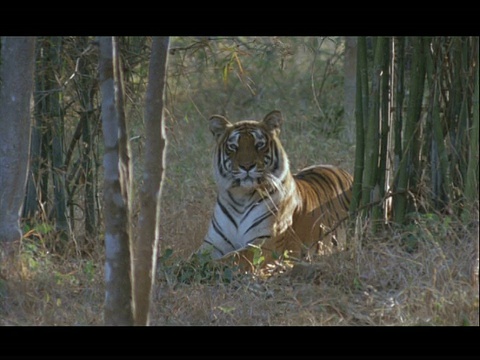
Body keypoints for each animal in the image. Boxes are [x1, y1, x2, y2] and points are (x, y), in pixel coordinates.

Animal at [195, 109, 352, 270]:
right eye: (233, 146)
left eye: (259, 144)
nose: (247, 166)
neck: (241, 196)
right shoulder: (213, 243)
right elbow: (194, 257)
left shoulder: (265, 243)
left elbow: (232, 258)